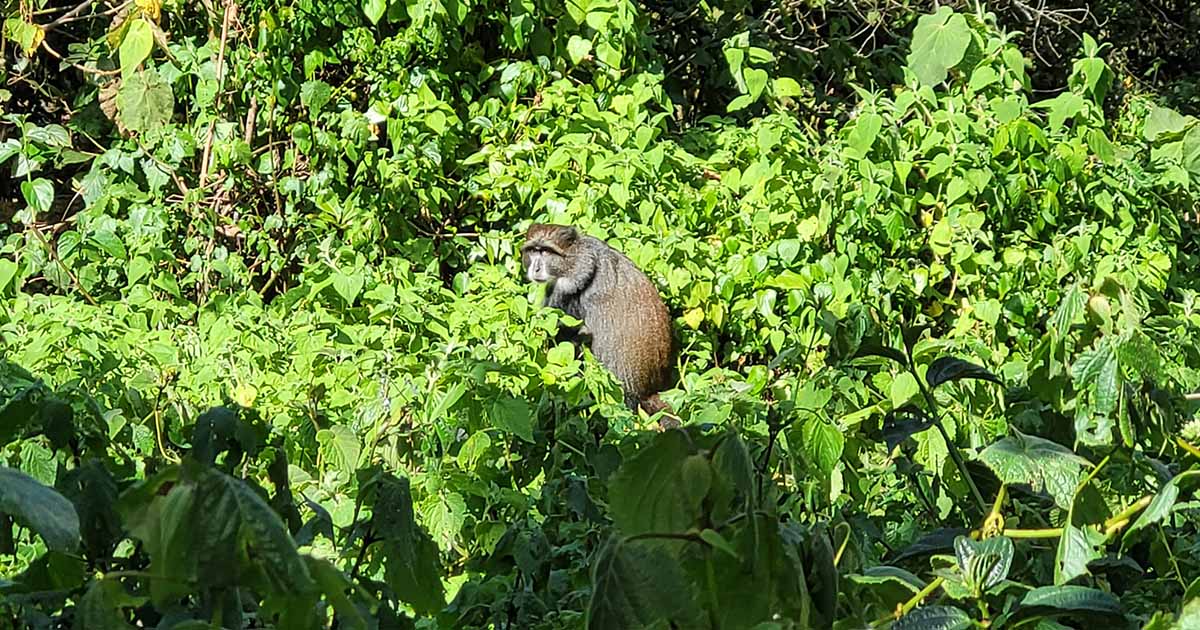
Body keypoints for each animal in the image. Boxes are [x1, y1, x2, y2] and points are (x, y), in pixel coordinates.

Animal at [520, 220, 681, 422]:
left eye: (546, 252)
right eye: (533, 250)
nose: (536, 268)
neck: (579, 258)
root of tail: (648, 391)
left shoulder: (565, 290)